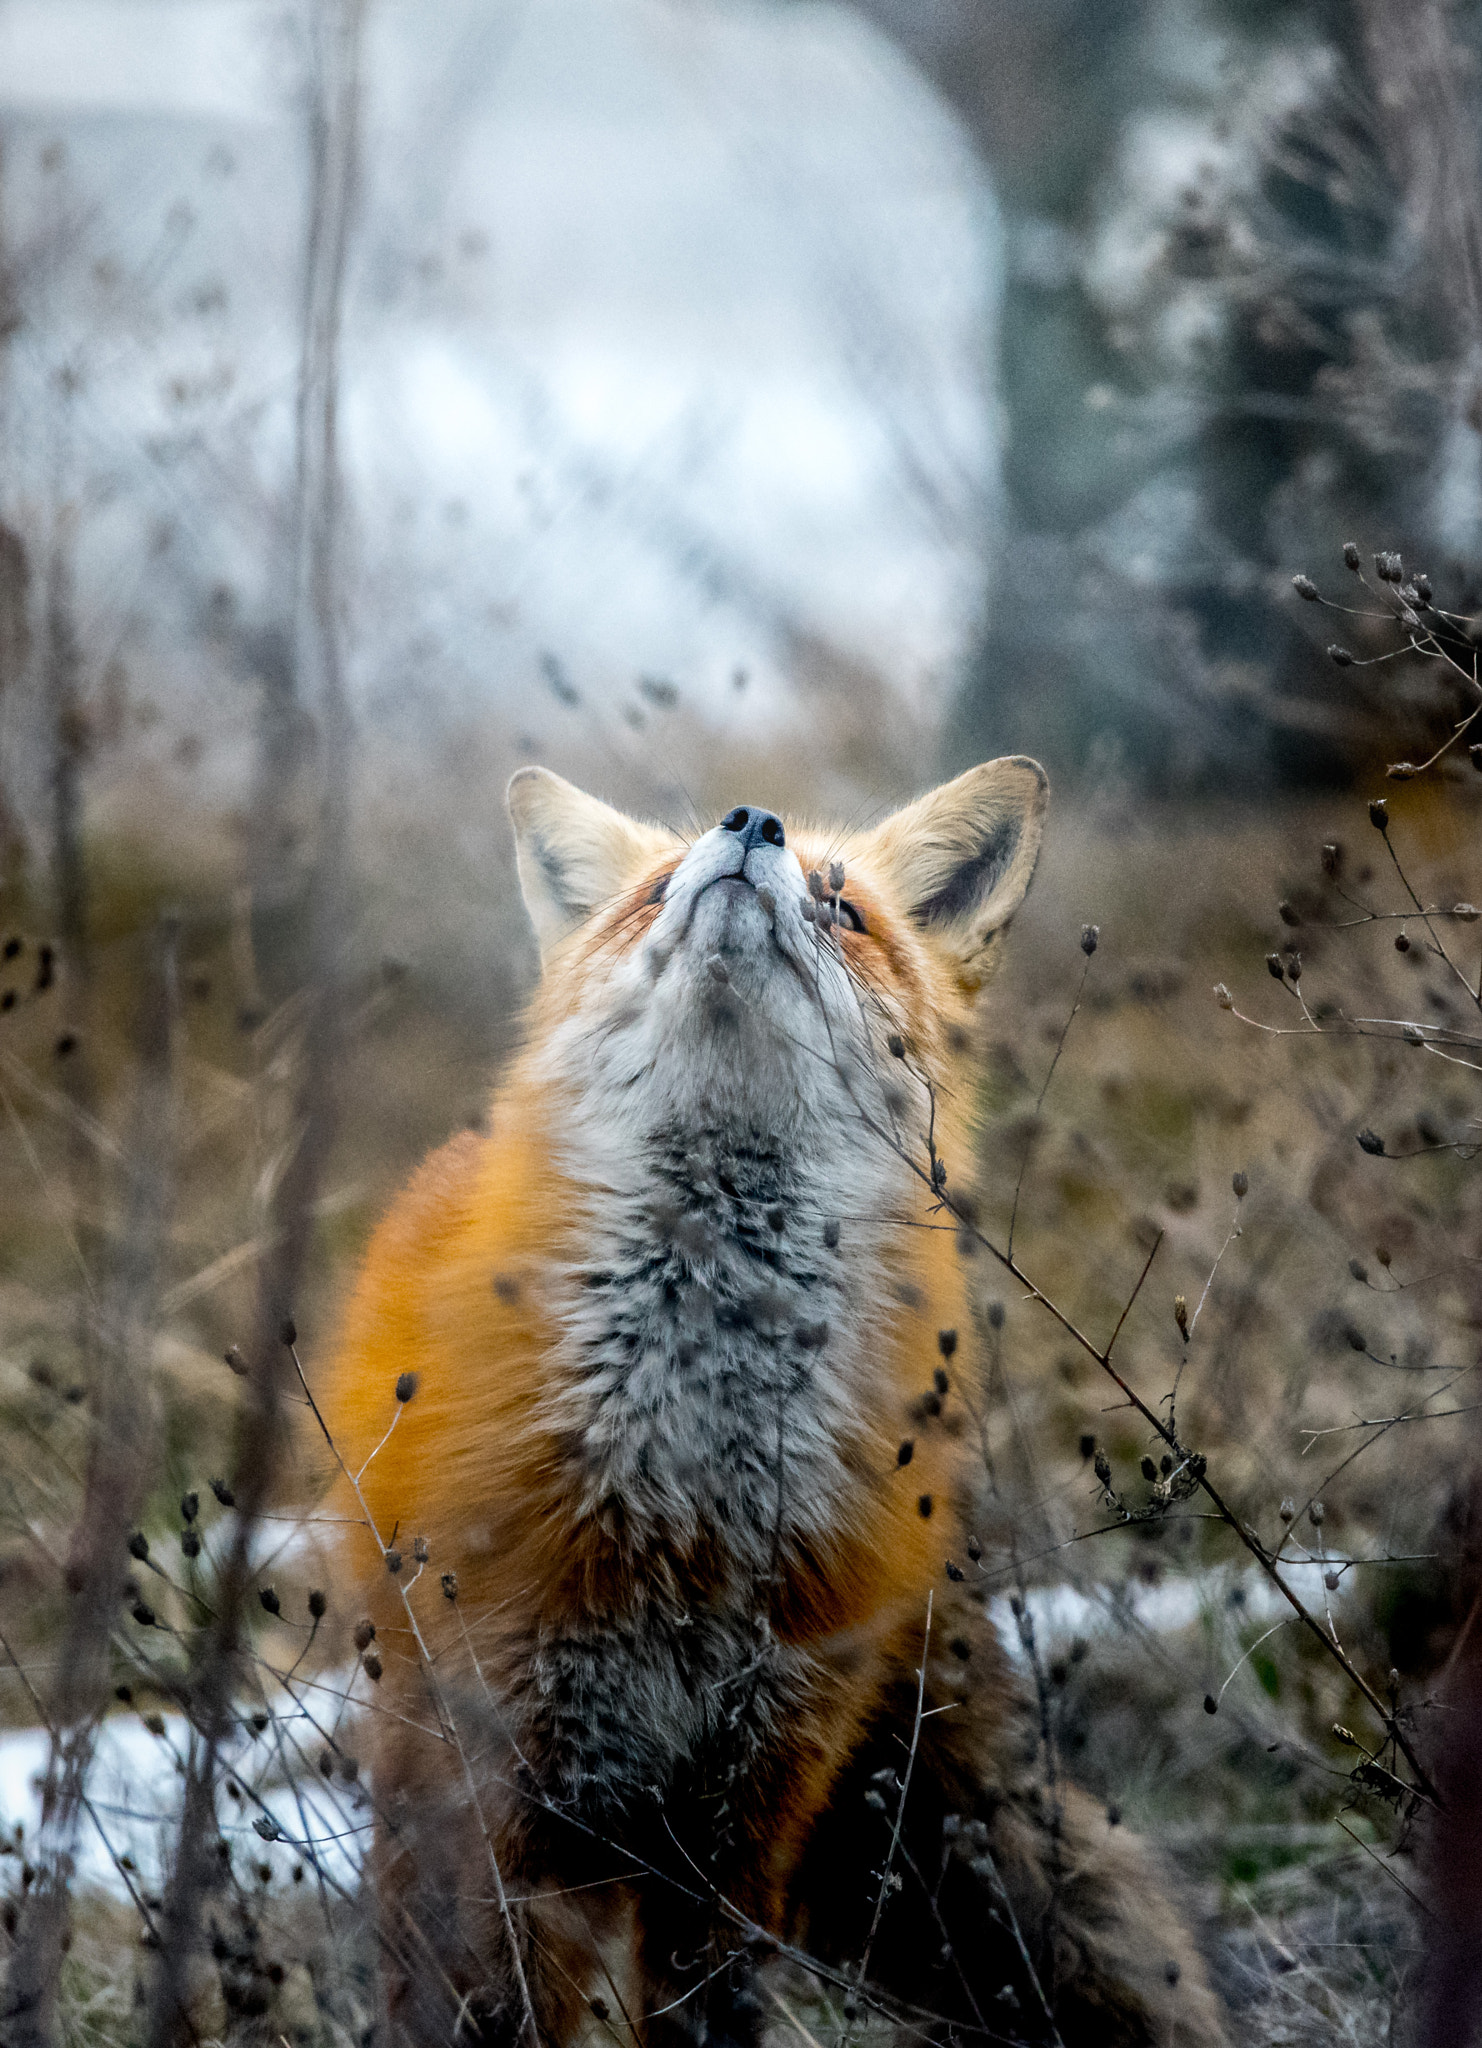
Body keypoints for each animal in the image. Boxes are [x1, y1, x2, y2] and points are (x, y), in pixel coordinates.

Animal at [323, 765, 1228, 2048]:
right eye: (654, 889)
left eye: (845, 908)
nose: (752, 822)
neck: (689, 1496)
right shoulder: (503, 1775)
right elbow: (489, 2003)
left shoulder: (752, 1795)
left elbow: (708, 2007)